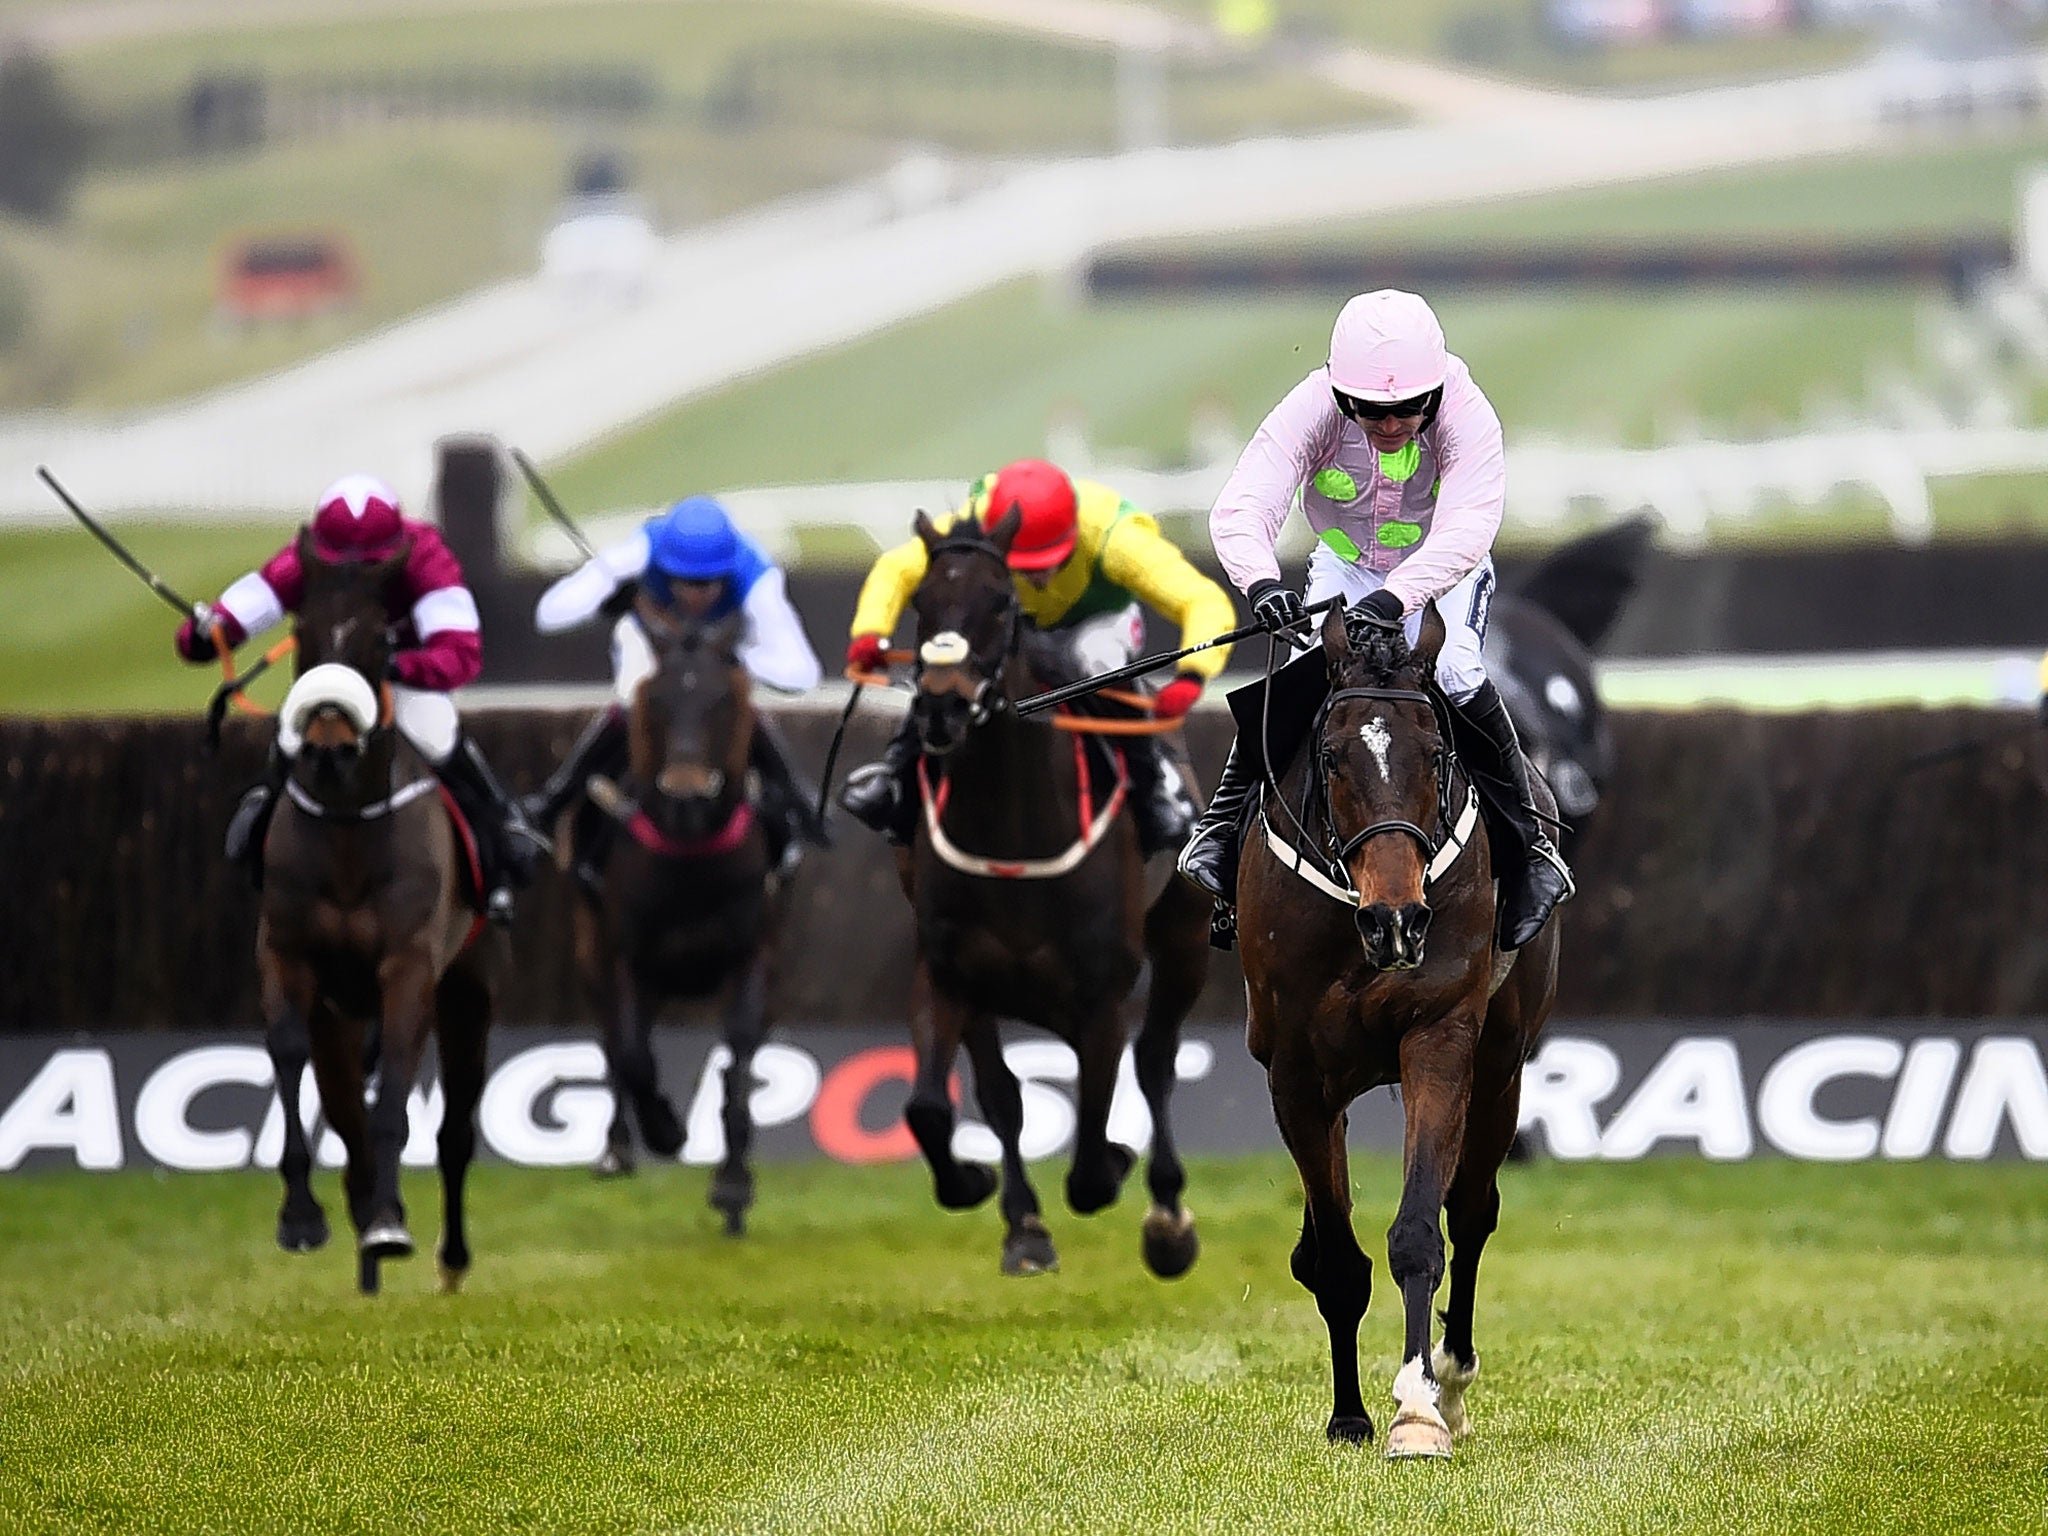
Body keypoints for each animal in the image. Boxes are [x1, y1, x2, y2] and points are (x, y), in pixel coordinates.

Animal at [256, 532, 503, 1302]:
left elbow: (395, 1085)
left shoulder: (411, 967)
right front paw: (302, 1217)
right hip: (339, 1015)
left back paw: (447, 1257)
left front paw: (391, 1223)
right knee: (345, 1114)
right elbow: (288, 1057)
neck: (346, 829)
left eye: (379, 638)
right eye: (302, 632)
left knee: (453, 1133)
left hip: (469, 991)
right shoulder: (288, 955)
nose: (329, 747)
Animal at [561, 598, 782, 1236]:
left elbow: (739, 1059)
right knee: (613, 1042)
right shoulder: (626, 956)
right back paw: (617, 1149)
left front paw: (733, 1186)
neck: (691, 856)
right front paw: (666, 1130)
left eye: (724, 699)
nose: (686, 795)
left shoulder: (754, 951)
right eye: (656, 699)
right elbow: (633, 1054)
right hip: (588, 947)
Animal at [888, 512, 1204, 1277]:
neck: (1012, 828)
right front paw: (998, 1203)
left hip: (1185, 936)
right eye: (921, 604)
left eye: (1000, 602)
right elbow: (944, 1107)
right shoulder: (948, 973)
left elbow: (1091, 1154)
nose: (941, 705)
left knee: (1156, 1059)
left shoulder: (1103, 994)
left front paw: (1118, 1163)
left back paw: (1168, 1217)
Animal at [1228, 606, 1564, 1458]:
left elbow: (1419, 1230)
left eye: (1436, 753)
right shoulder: (1296, 1076)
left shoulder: (1439, 1038)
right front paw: (1349, 1414)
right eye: (1332, 756)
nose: (1398, 921)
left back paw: (1453, 1379)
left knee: (1472, 1211)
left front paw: (1418, 1411)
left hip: (1501, 1070)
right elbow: (1335, 1263)